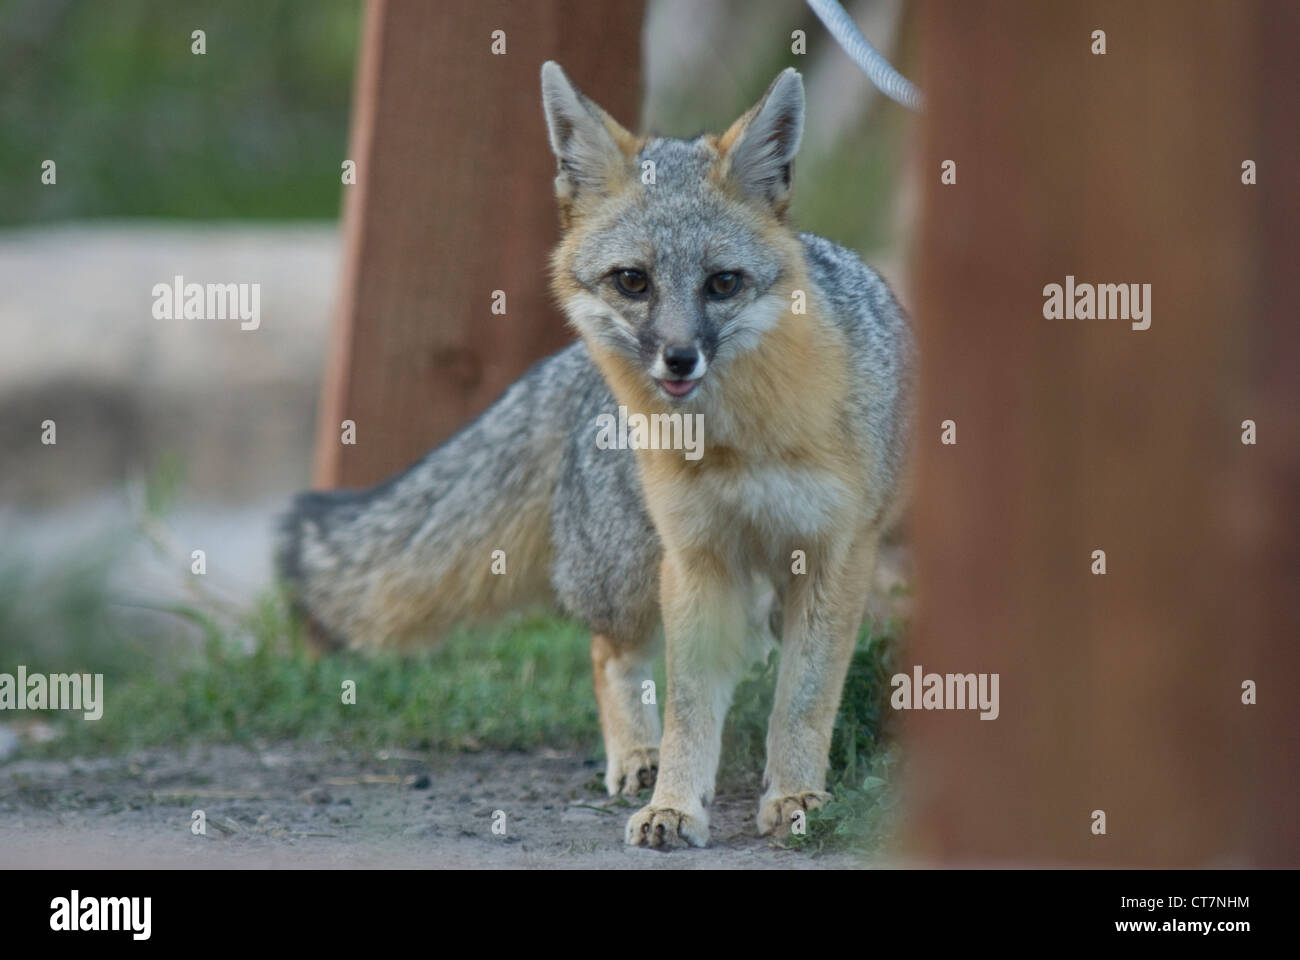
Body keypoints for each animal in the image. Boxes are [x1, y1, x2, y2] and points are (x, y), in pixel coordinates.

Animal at [276, 61, 913, 849]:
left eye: (723, 283)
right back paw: (638, 755)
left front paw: (795, 795)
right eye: (633, 280)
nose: (679, 359)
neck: (739, 442)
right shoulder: (696, 560)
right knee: (610, 652)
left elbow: (803, 698)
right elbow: (690, 709)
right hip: (635, 568)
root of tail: (572, 371)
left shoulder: (835, 556)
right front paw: (676, 804)